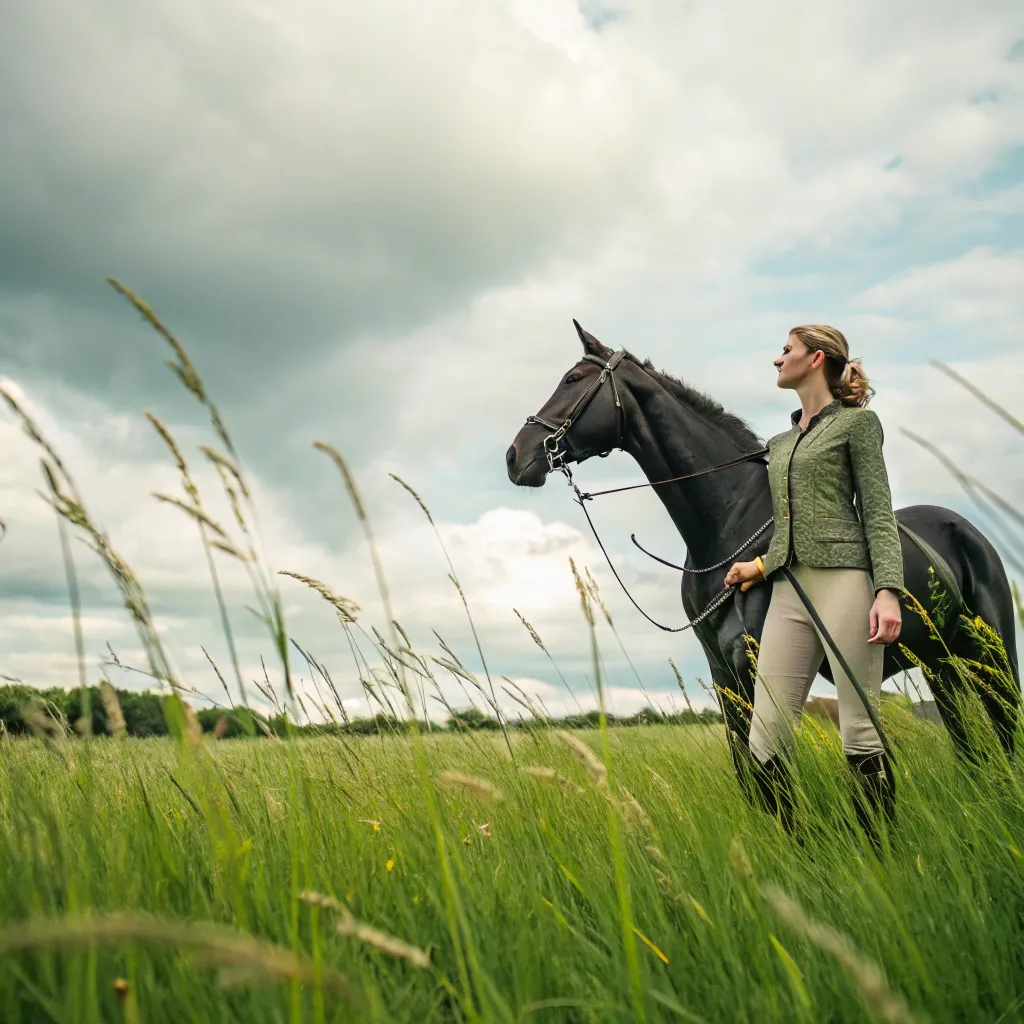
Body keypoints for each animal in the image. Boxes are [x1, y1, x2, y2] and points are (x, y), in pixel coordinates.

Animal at [507, 319, 1019, 770]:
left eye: (573, 379)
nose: (516, 455)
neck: (727, 529)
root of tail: (967, 531)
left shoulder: (757, 669)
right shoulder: (725, 676)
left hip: (991, 654)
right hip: (941, 663)